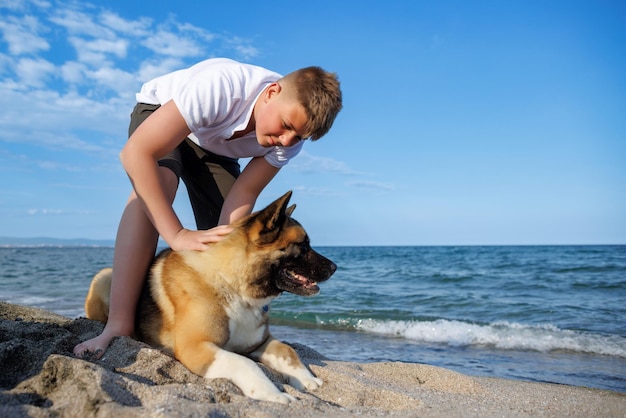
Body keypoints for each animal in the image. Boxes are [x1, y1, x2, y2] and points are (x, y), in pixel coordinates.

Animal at [84, 191, 336, 404]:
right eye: (303, 245)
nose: (335, 267)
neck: (232, 284)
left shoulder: (259, 342)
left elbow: (287, 351)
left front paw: (307, 379)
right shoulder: (195, 347)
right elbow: (246, 364)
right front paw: (273, 395)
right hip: (105, 276)